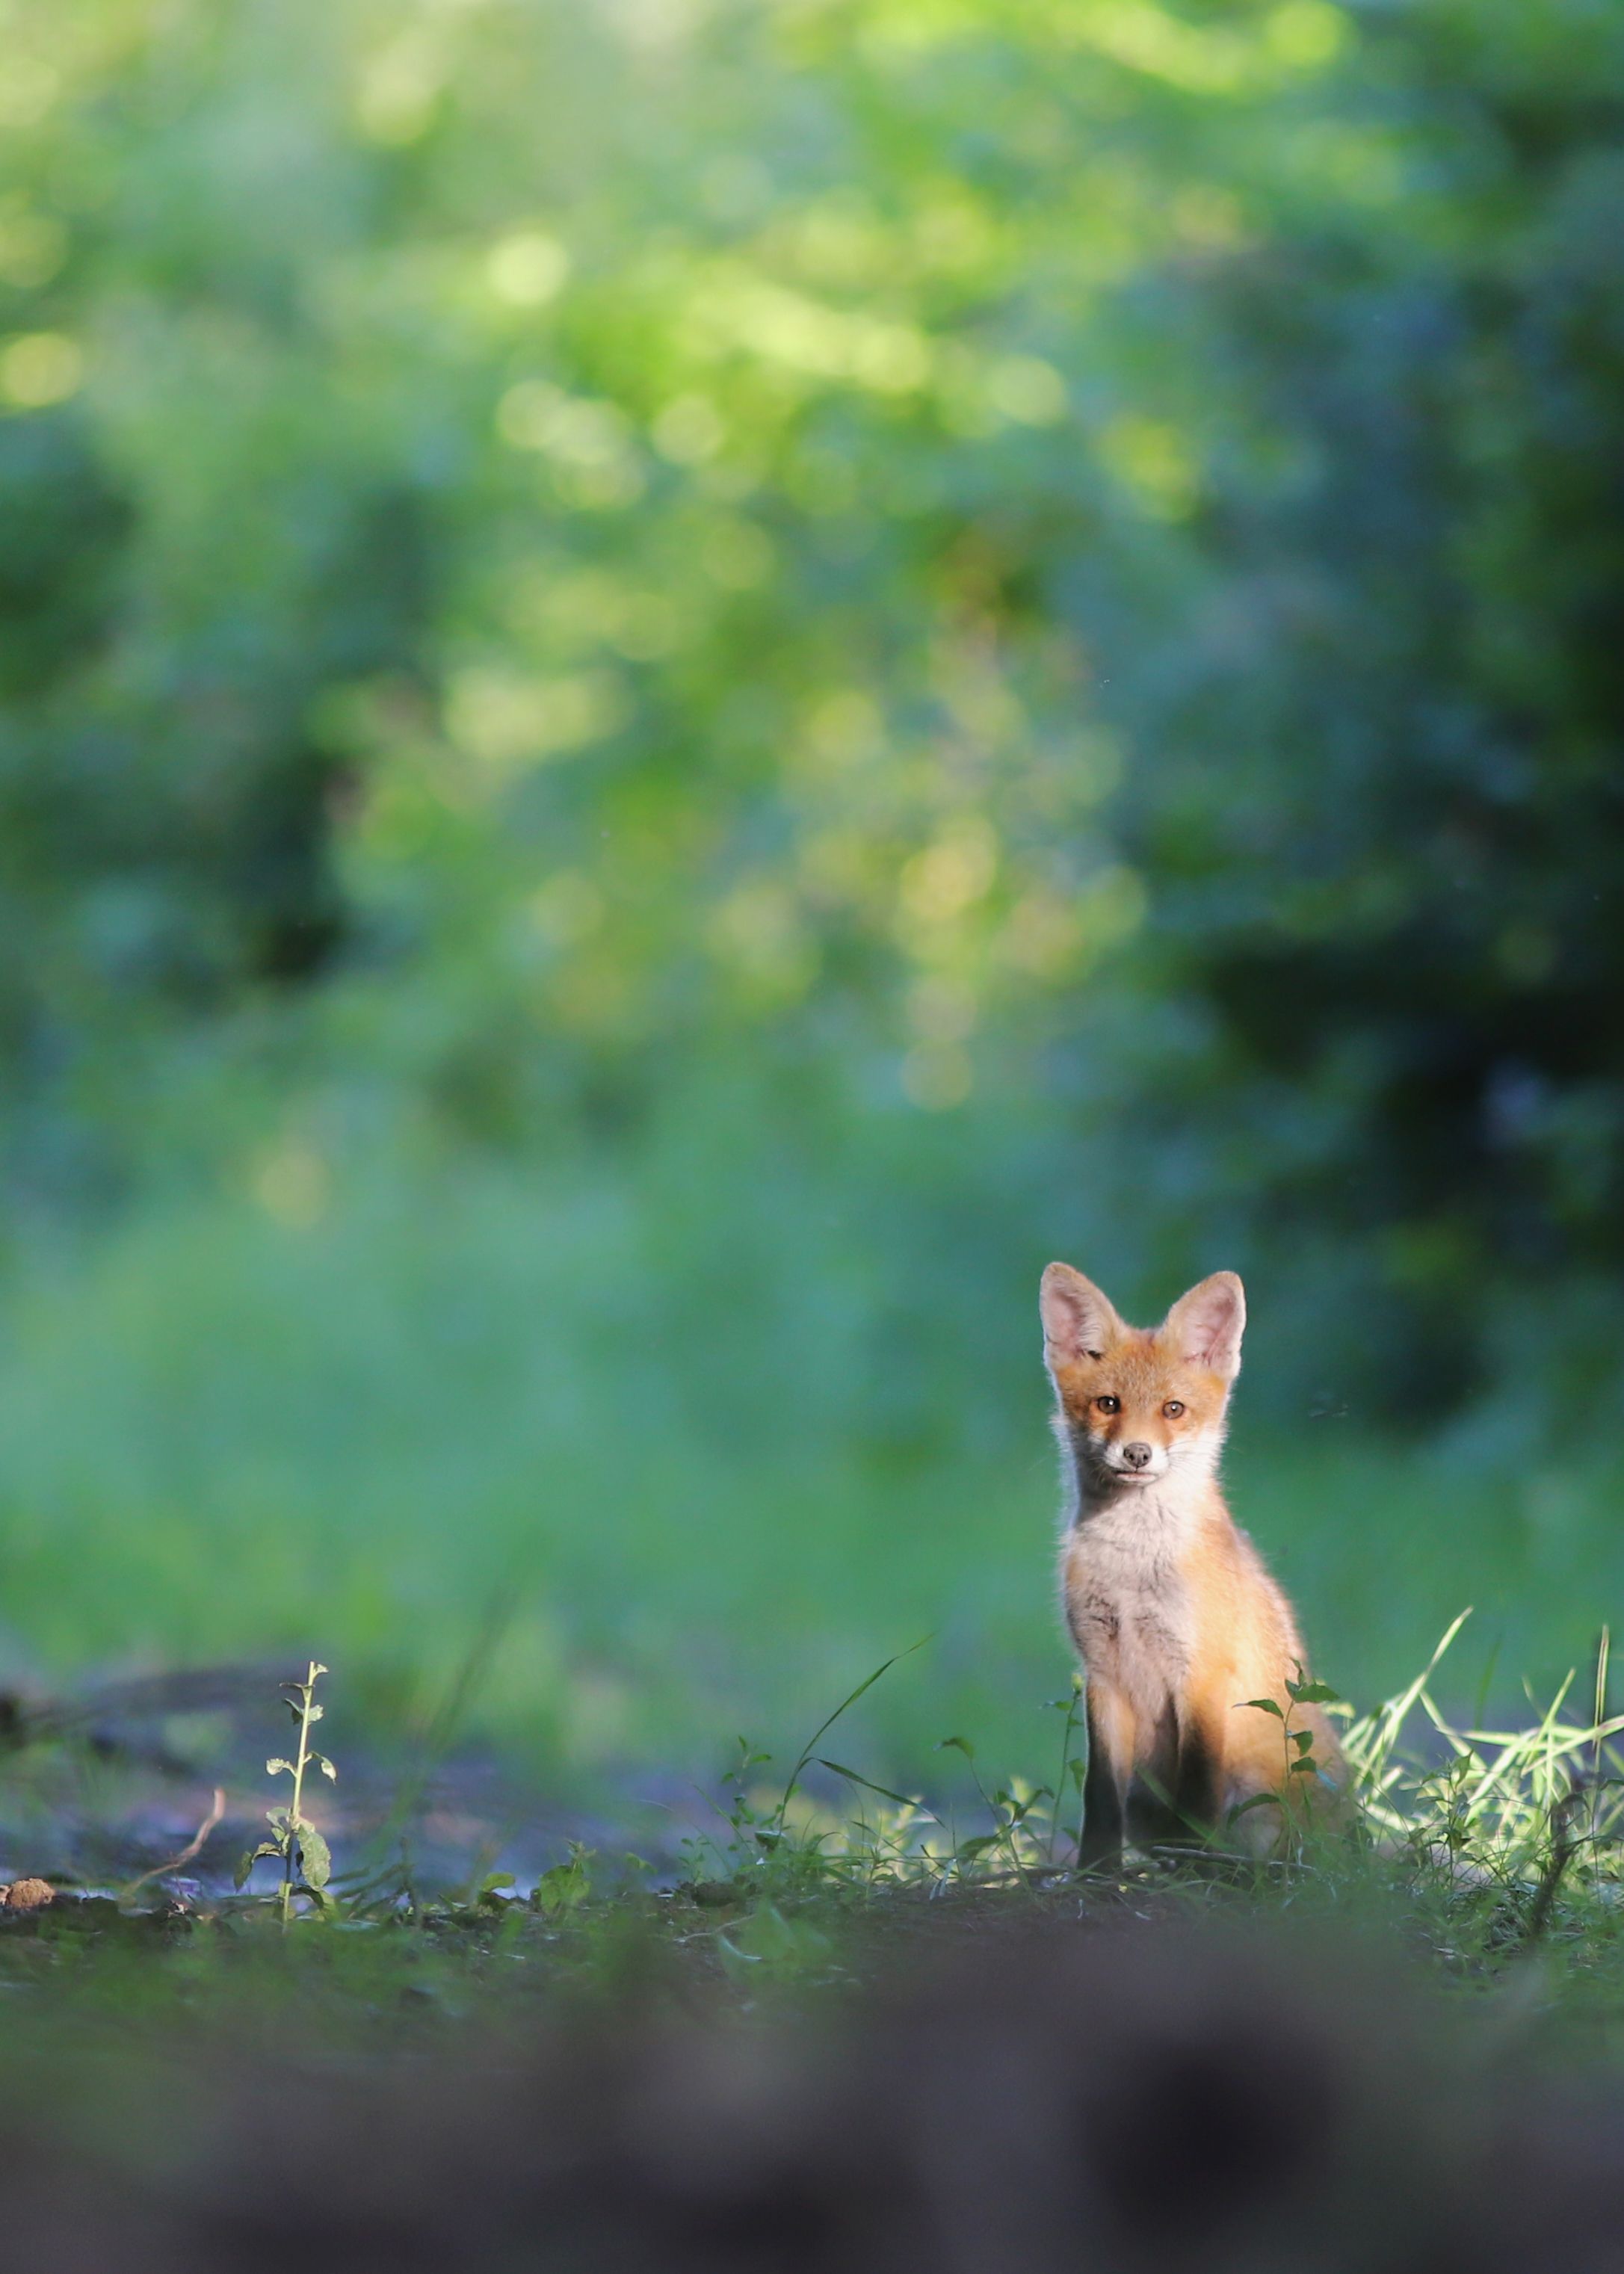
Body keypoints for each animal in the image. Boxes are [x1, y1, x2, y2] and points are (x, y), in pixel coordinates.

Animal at [1040, 1263, 1343, 1864]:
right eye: (1107, 1404)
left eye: (1173, 1410)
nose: (1137, 1453)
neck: (1132, 1573)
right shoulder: (1102, 1674)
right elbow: (1098, 1798)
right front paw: (1096, 1873)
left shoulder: (1201, 1673)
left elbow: (1196, 1792)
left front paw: (1191, 1866)